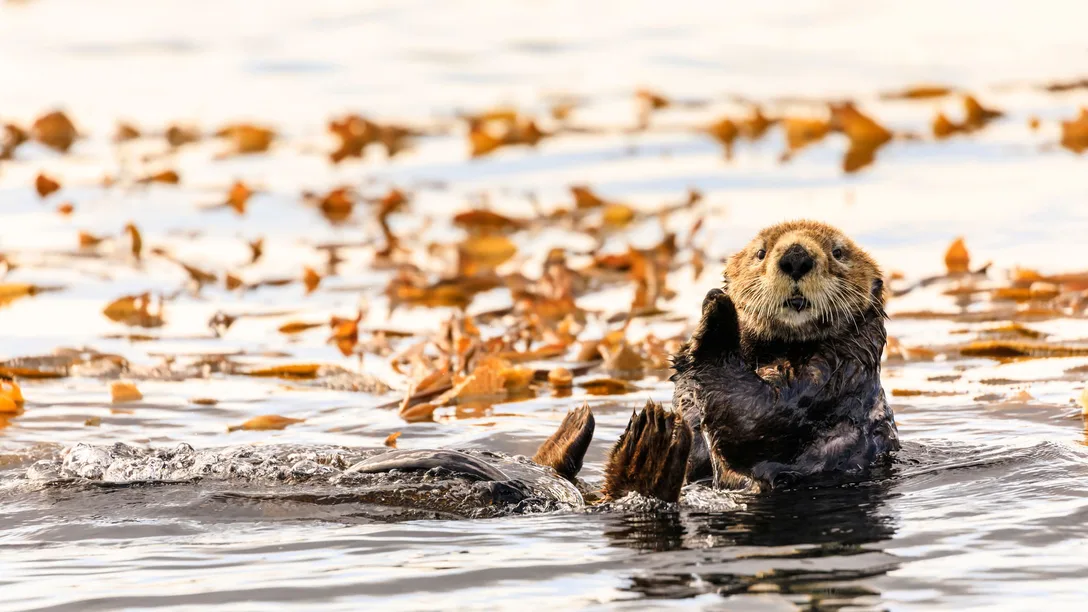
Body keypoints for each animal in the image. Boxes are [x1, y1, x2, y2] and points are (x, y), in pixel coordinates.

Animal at [671, 219, 899, 490]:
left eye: (838, 252)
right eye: (760, 253)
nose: (796, 257)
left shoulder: (827, 381)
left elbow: (754, 414)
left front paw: (717, 310)